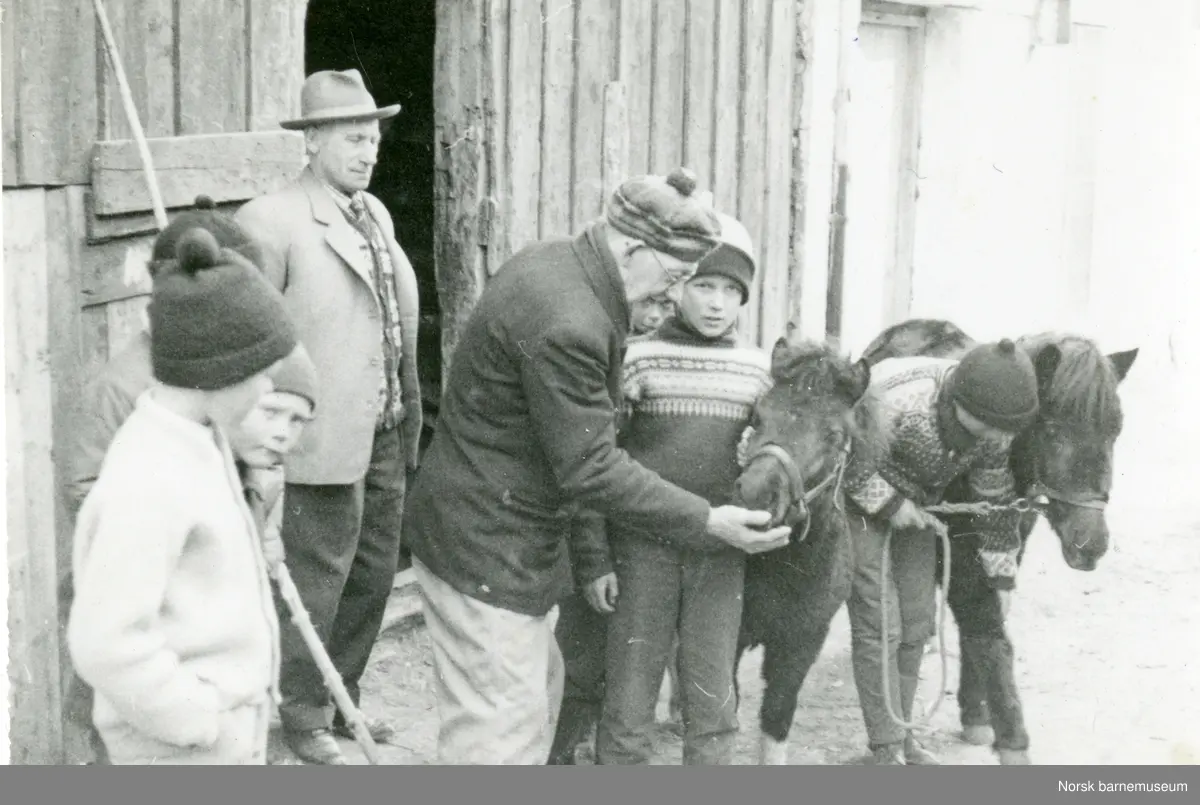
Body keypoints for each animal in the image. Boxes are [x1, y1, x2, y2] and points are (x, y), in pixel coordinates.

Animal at [729, 335, 892, 763]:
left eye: (834, 435)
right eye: (756, 417)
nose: (755, 495)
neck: (782, 567)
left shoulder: (802, 643)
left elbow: (776, 718)